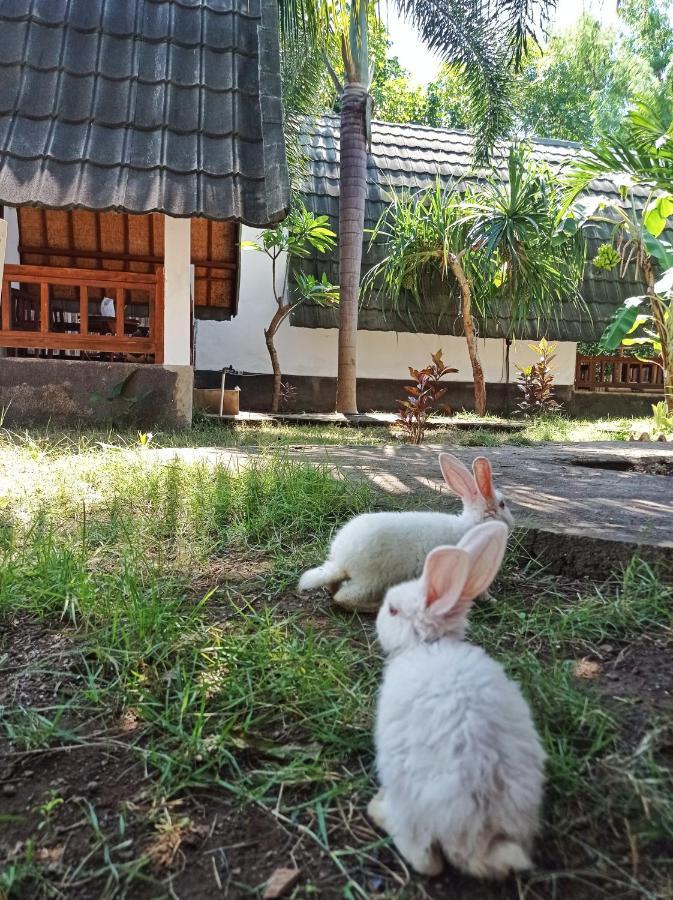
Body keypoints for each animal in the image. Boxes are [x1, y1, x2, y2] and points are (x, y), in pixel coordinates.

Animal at [296, 450, 512, 612]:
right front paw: (492, 601)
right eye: (502, 504)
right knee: (344, 598)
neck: (474, 524)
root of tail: (342, 562)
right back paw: (374, 607)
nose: (512, 522)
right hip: (373, 580)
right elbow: (480, 591)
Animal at [368, 520, 544, 880]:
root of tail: (478, 838)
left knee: (426, 861)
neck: (429, 645)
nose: (378, 617)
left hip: (410, 805)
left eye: (393, 610)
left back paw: (377, 808)